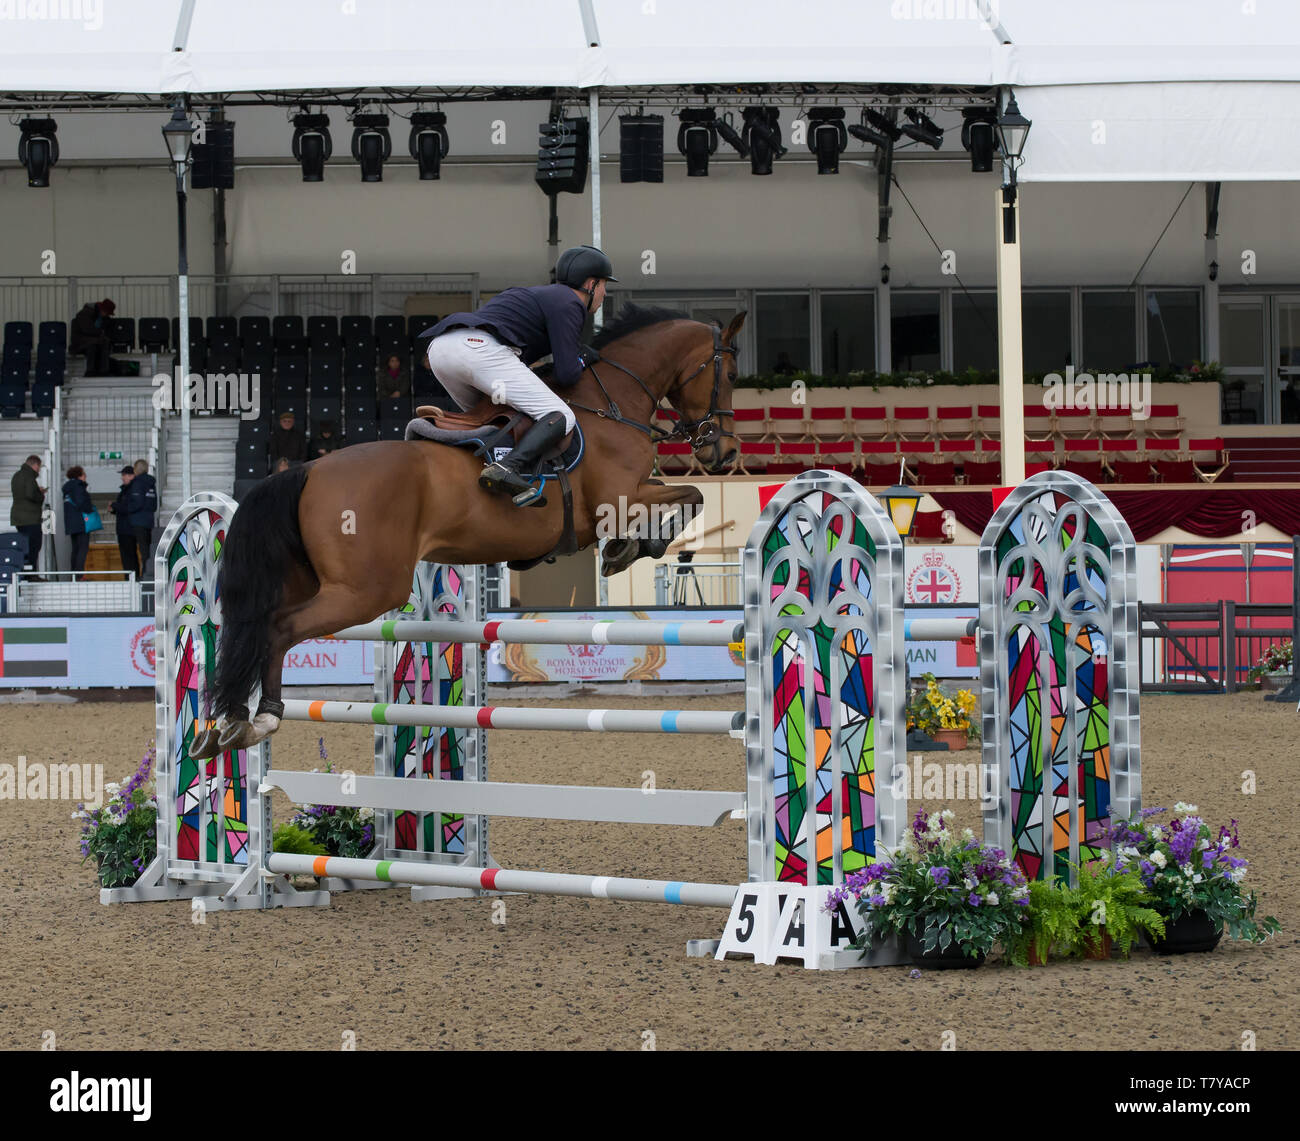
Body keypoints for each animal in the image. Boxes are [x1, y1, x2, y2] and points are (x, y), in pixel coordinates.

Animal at [189, 307, 743, 764]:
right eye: (732, 375)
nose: (725, 453)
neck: (609, 404)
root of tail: (308, 469)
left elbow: (687, 495)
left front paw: (631, 546)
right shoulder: (620, 497)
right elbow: (689, 495)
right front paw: (631, 547)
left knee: (256, 627)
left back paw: (228, 723)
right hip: (365, 591)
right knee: (279, 628)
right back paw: (261, 717)